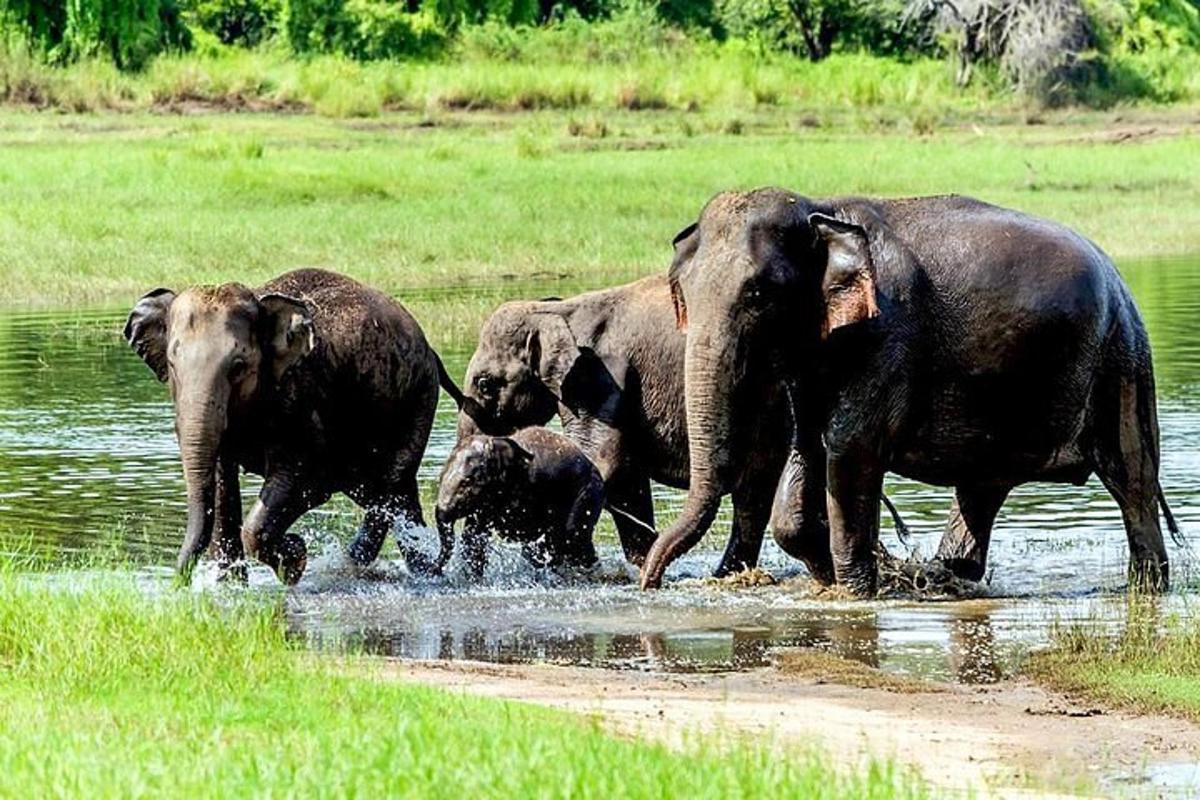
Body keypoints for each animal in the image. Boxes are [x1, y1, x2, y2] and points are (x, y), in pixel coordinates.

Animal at [121, 266, 458, 585]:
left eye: (239, 366)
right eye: (172, 363)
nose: (179, 584)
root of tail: (430, 350)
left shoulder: (302, 395)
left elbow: (310, 482)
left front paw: (295, 562)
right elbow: (219, 482)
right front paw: (231, 587)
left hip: (418, 399)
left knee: (390, 488)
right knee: (390, 494)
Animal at [434, 429, 604, 578]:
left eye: (466, 483)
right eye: (440, 477)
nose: (435, 570)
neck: (497, 441)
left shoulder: (527, 488)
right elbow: (473, 538)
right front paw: (474, 579)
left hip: (587, 494)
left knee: (571, 539)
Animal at [451, 277, 796, 582]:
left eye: (485, 384)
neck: (555, 311)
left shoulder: (598, 378)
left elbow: (604, 462)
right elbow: (628, 479)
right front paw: (637, 566)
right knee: (753, 496)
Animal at [643, 190, 1176, 597]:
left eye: (757, 295)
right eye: (683, 294)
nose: (651, 583)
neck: (821, 208)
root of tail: (1119, 277)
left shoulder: (886, 338)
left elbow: (849, 450)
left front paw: (857, 595)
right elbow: (807, 451)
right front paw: (832, 579)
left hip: (1121, 359)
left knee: (1131, 482)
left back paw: (1146, 590)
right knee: (982, 487)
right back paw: (950, 577)